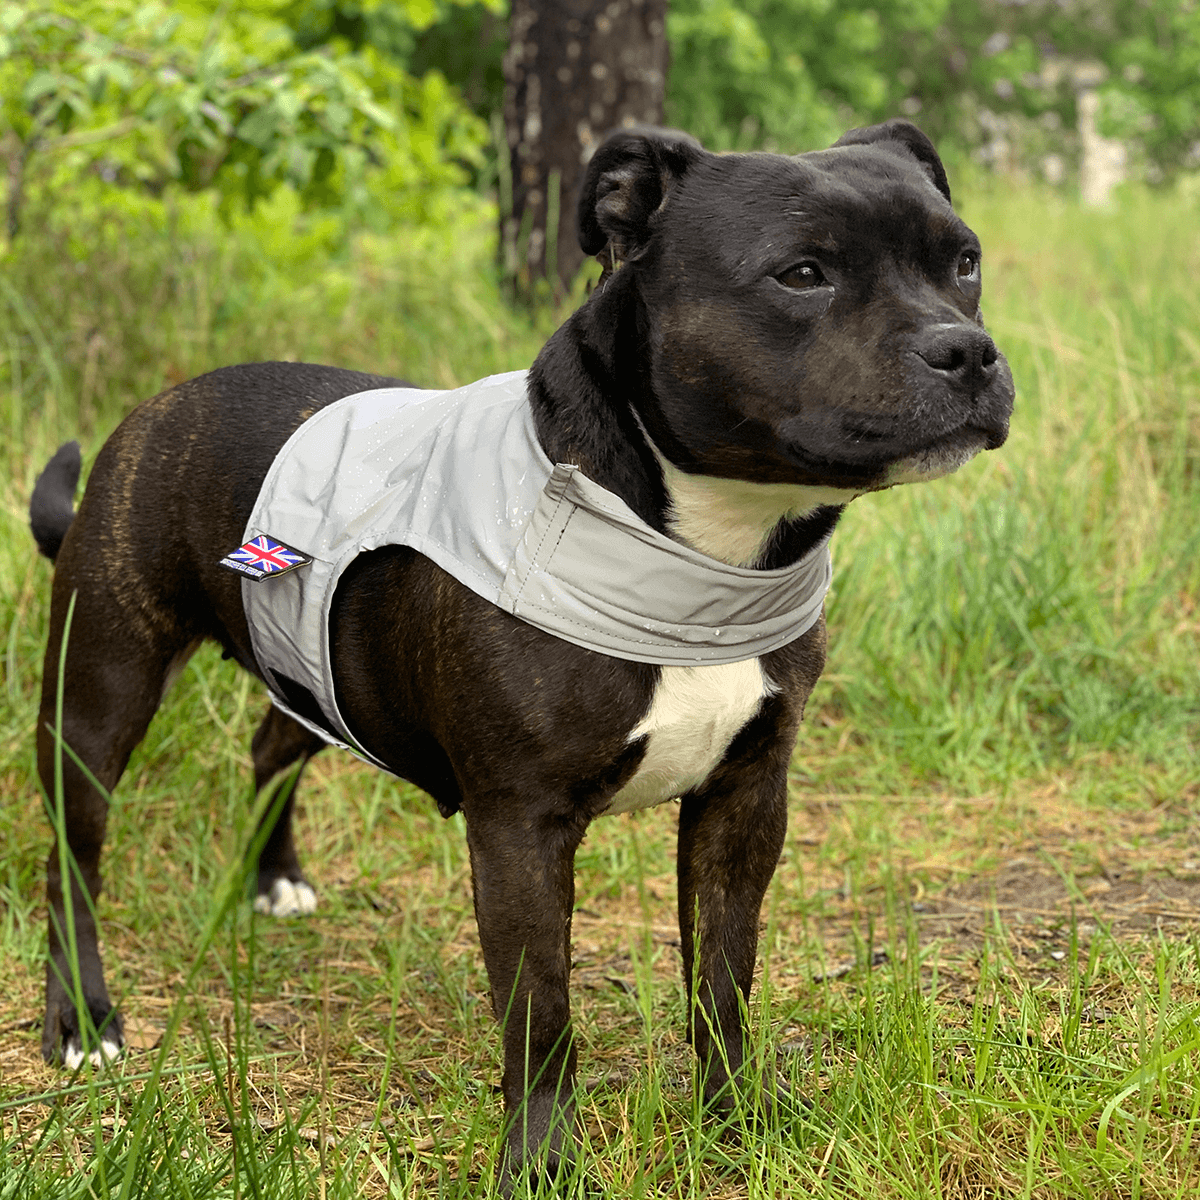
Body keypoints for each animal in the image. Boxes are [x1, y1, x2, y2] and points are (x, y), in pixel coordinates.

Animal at [28, 117, 1012, 1185]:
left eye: (964, 261)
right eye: (802, 274)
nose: (968, 349)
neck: (702, 549)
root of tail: (156, 405)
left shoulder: (745, 799)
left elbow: (723, 978)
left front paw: (736, 1123)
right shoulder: (520, 829)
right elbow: (541, 1015)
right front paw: (541, 1162)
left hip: (313, 666)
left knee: (271, 742)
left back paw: (273, 879)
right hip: (98, 692)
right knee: (73, 858)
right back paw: (83, 1019)